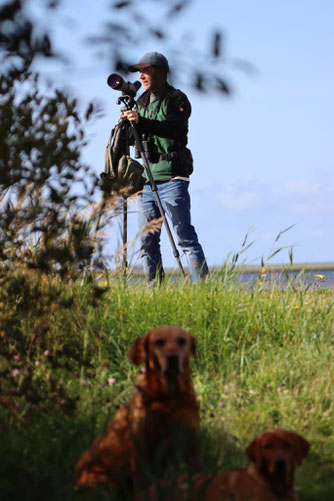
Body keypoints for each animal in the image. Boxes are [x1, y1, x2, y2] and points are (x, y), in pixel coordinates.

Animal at [74, 326, 200, 494]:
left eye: (182, 341)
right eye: (159, 342)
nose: (172, 358)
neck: (169, 398)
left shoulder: (191, 441)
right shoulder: (141, 448)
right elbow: (142, 485)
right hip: (105, 483)